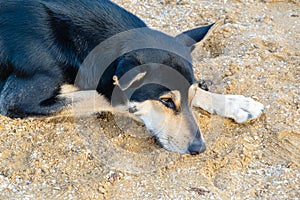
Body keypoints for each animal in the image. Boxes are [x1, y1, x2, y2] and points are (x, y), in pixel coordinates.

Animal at [0, 0, 264, 155]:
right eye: (166, 101)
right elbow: (106, 97)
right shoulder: (15, 101)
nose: (198, 148)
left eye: (190, 96)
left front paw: (234, 103)